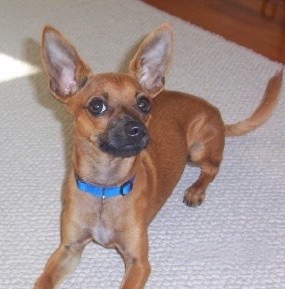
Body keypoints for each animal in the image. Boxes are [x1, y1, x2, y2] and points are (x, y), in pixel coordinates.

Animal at [34, 23, 280, 288]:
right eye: (96, 106)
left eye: (144, 104)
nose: (137, 130)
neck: (105, 189)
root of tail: (217, 115)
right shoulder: (68, 249)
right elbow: (43, 281)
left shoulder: (139, 263)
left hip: (197, 151)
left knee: (212, 168)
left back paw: (196, 190)